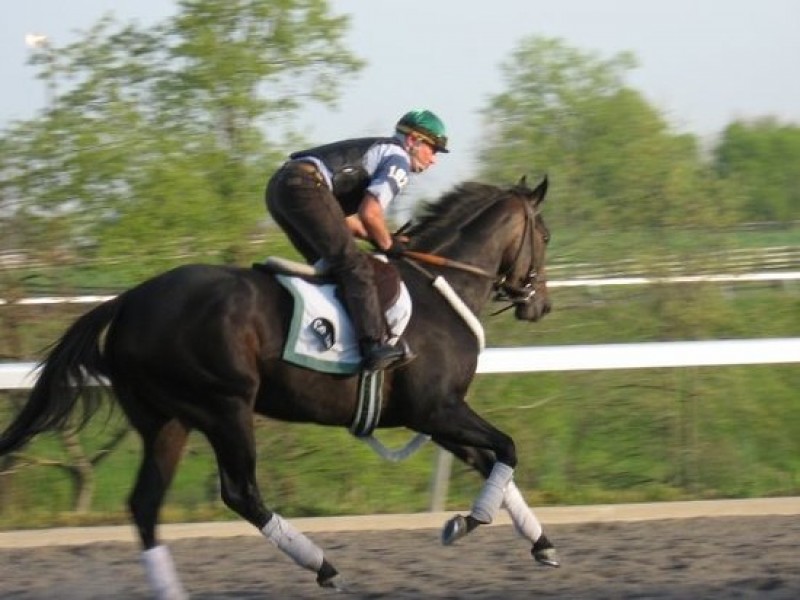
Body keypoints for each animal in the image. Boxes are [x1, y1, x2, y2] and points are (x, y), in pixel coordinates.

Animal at [0, 176, 556, 596]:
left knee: (144, 506)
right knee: (241, 493)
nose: (541, 304)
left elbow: (493, 464)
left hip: (166, 421)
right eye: (546, 235)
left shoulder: (435, 417)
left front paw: (539, 542)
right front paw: (469, 521)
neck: (440, 290)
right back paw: (323, 566)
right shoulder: (436, 409)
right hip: (225, 406)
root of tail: (128, 301)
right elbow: (508, 449)